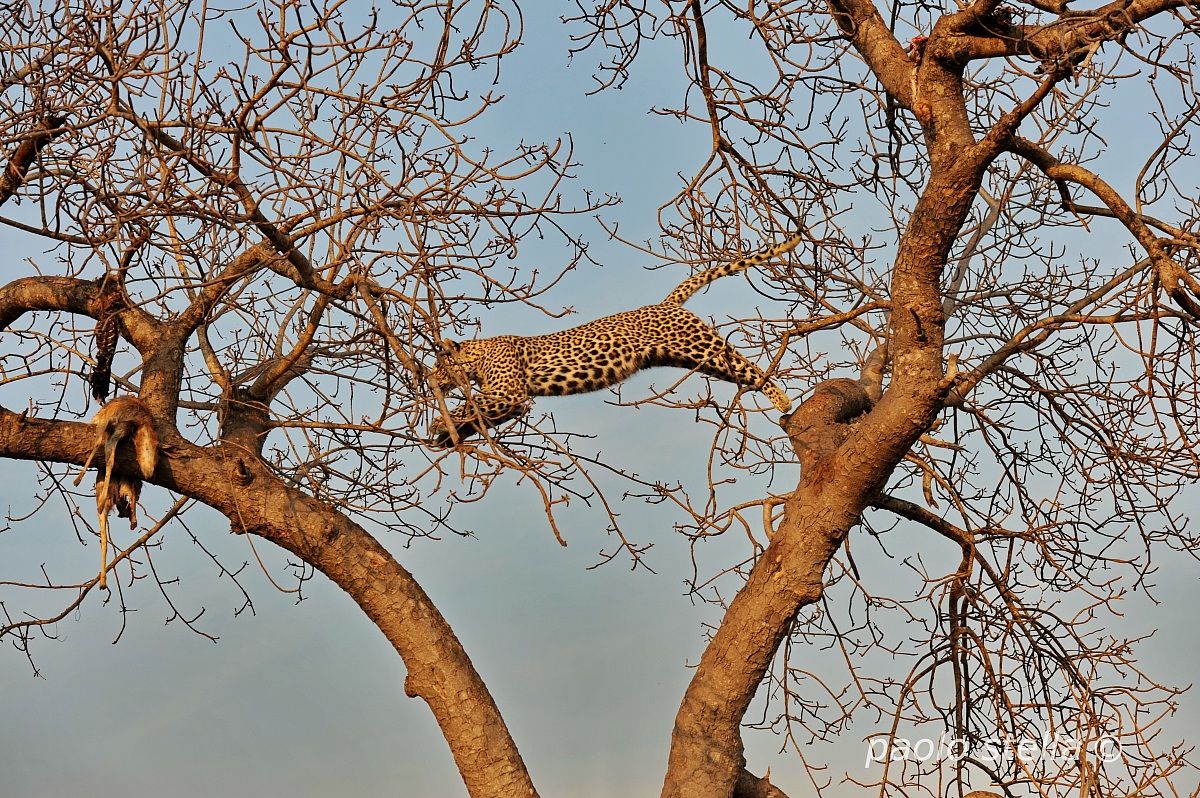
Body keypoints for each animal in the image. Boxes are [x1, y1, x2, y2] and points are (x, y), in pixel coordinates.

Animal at [427, 235, 800, 447]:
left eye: (438, 365)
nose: (429, 380)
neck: (479, 355)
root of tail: (665, 303)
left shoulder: (509, 391)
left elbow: (470, 406)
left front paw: (439, 424)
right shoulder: (511, 400)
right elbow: (480, 415)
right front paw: (448, 436)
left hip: (700, 344)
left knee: (747, 366)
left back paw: (781, 399)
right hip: (692, 358)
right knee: (738, 371)